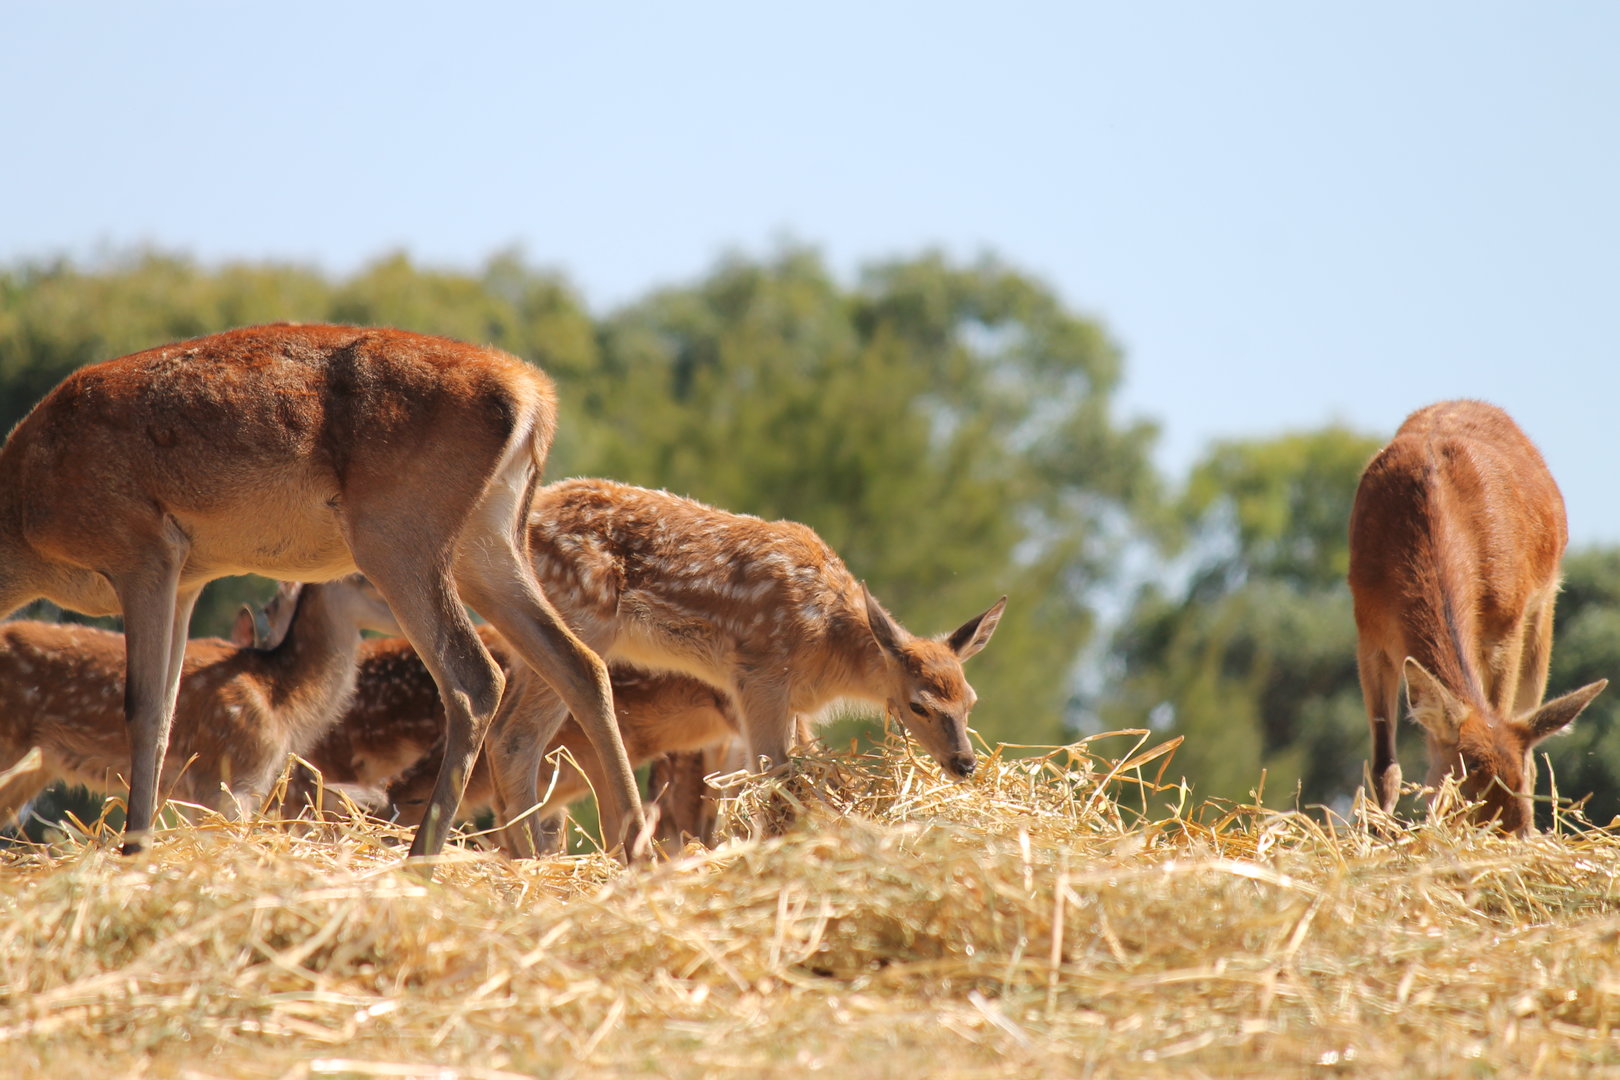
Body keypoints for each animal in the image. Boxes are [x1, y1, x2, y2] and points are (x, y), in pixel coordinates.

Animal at [465, 477, 1006, 855]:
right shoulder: (758, 676)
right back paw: (540, 859)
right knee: (519, 734)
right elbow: (780, 779)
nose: (964, 763)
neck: (831, 648)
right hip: (580, 614)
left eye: (970, 701)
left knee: (510, 734)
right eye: (919, 705)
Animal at [1348, 399, 1607, 834]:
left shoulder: (1505, 626)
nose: (1516, 831)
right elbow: (1384, 766)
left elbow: (1505, 722)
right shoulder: (1369, 631)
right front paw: (1377, 836)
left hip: (1542, 611)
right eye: (1462, 788)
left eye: (1518, 798)